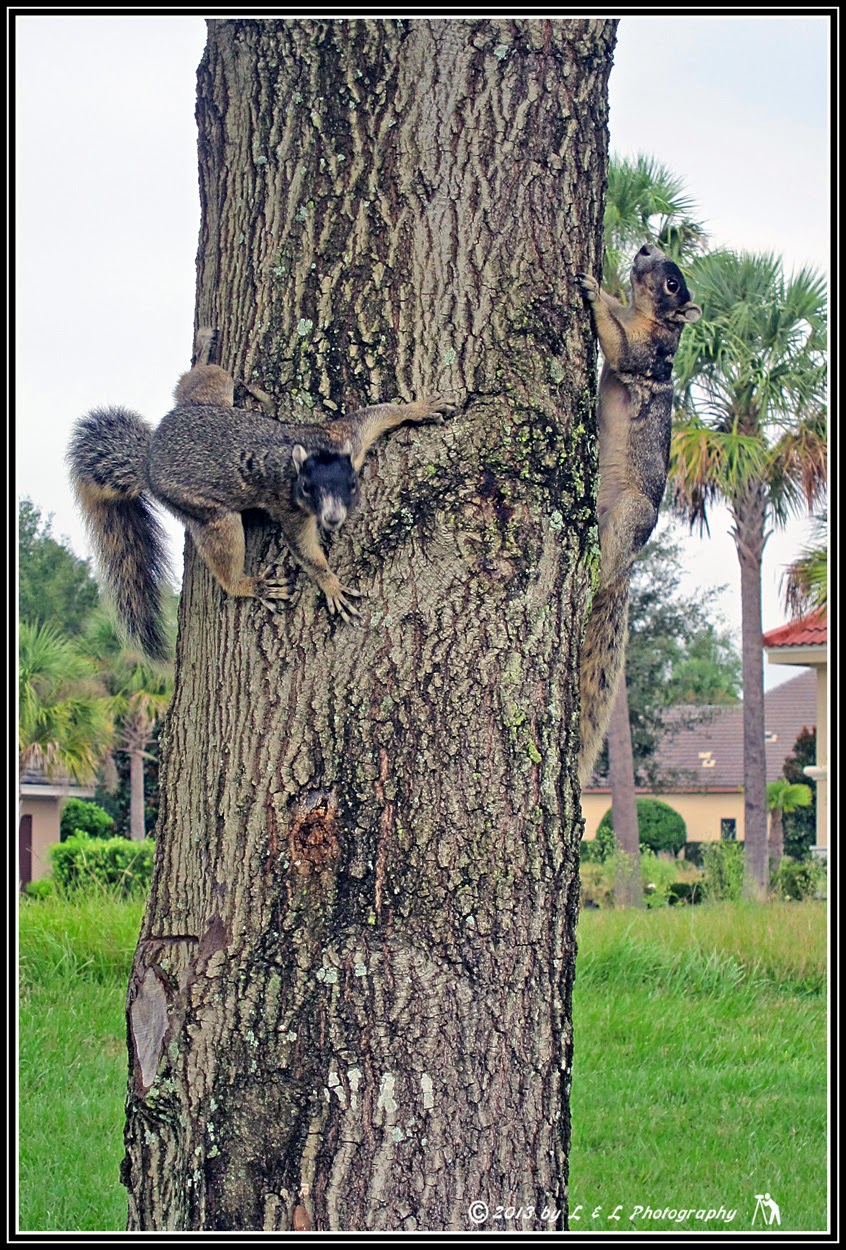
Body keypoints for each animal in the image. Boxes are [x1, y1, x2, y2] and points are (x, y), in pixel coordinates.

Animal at [68, 328, 452, 659]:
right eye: (307, 488)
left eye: (353, 484)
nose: (332, 518)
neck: (309, 453)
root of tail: (149, 458)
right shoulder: (291, 510)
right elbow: (306, 552)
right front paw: (331, 586)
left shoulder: (347, 438)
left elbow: (380, 414)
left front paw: (419, 408)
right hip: (209, 515)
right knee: (225, 562)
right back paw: (249, 585)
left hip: (212, 391)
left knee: (194, 383)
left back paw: (203, 351)